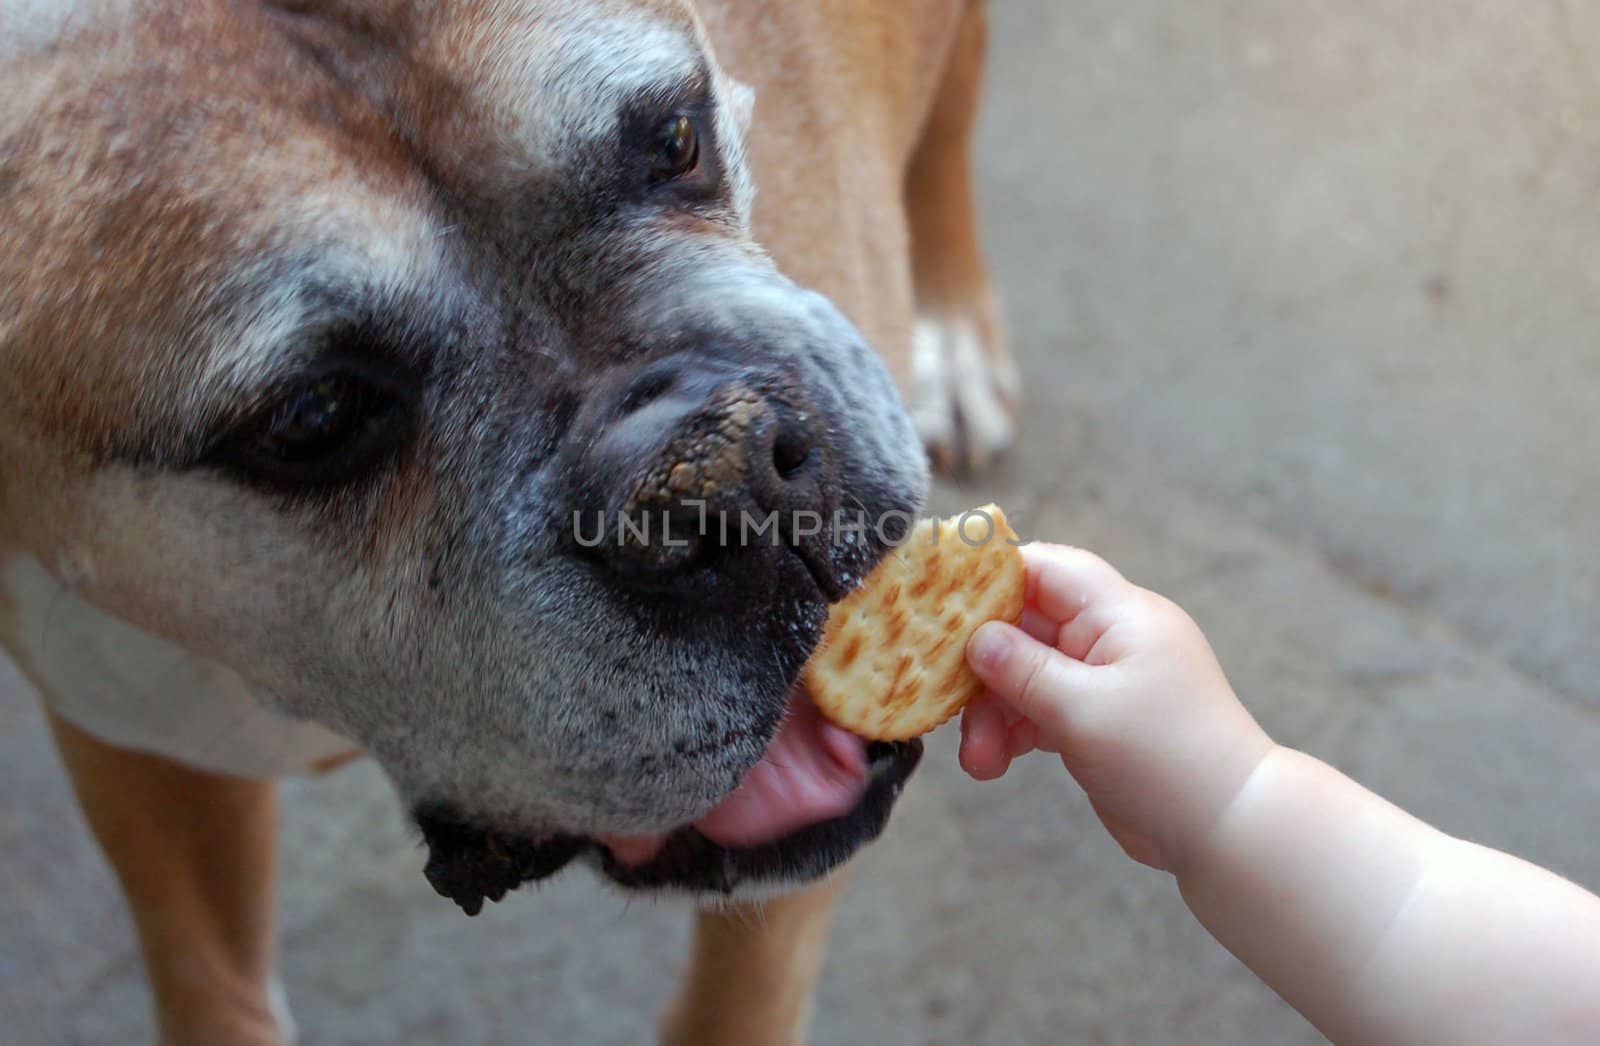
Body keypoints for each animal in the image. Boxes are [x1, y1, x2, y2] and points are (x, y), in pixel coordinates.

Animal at [0, 2, 1017, 1042]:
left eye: (674, 139)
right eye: (314, 416)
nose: (727, 472)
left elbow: (739, 1003)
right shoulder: (139, 756)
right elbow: (208, 983)